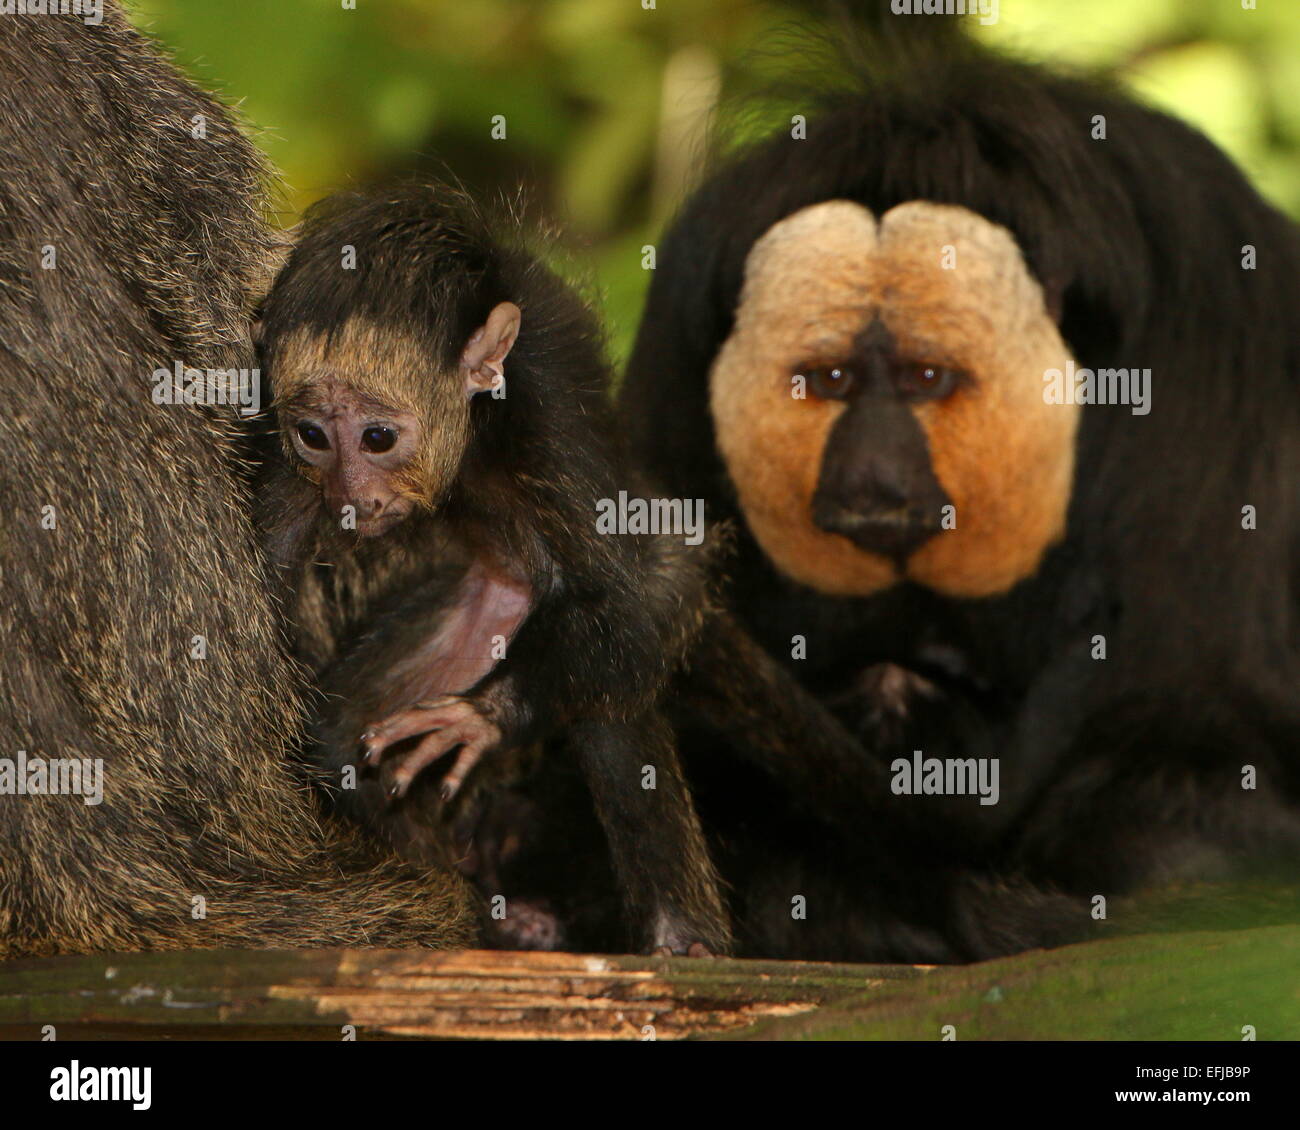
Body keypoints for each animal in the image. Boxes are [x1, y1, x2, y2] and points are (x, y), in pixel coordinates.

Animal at [253, 183, 732, 957]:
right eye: (314, 436)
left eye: (378, 437)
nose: (353, 497)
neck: (475, 431)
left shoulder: (549, 410)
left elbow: (626, 608)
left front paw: (484, 717)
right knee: (338, 734)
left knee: (613, 685)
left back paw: (676, 938)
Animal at [618, 19, 1300, 962]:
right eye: (830, 380)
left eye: (925, 378)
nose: (871, 472)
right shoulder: (675, 365)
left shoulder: (1212, 361)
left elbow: (1203, 751)